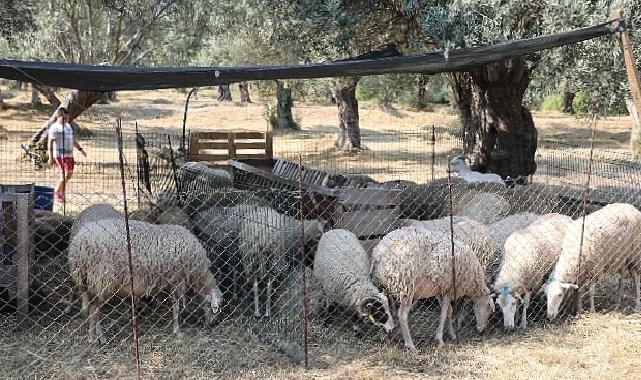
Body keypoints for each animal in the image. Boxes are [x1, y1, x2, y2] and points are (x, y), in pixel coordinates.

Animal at [67, 218, 222, 342]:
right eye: (214, 308)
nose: (212, 325)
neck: (198, 272)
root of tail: (79, 242)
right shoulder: (178, 280)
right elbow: (176, 307)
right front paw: (177, 331)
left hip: (90, 281)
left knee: (93, 308)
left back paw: (99, 335)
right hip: (104, 279)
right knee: (94, 309)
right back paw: (93, 337)